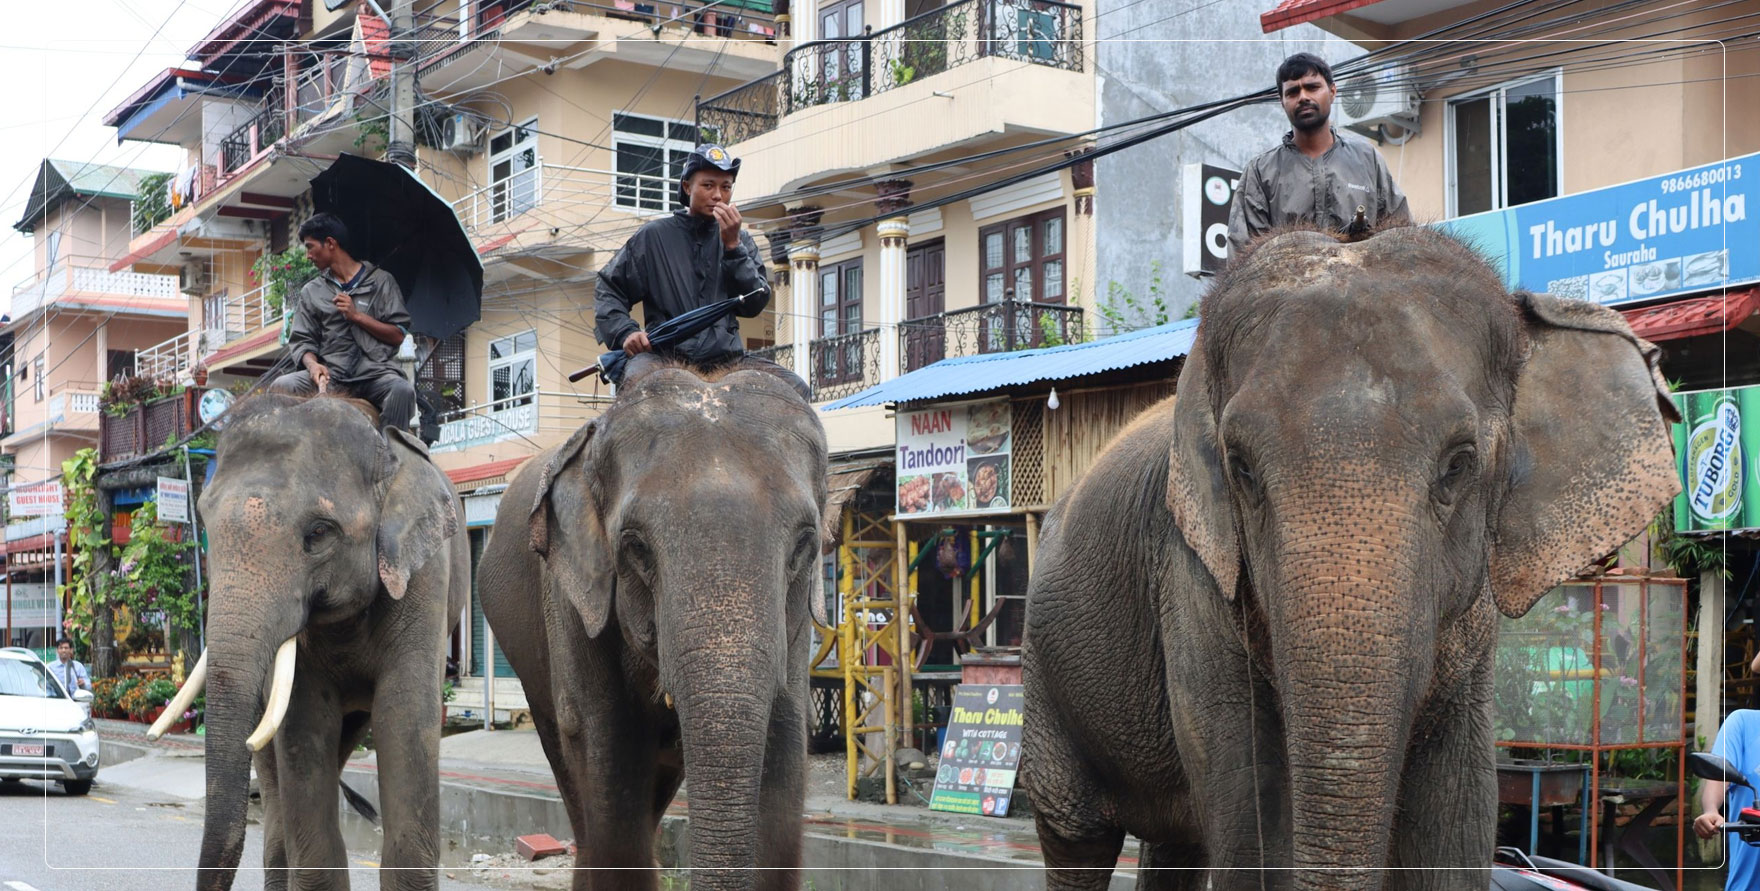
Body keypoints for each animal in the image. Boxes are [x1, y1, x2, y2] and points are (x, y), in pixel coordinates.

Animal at [478, 364, 827, 891]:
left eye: (805, 544)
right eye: (637, 547)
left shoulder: (797, 620)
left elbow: (785, 740)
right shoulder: (569, 599)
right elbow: (610, 744)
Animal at [1020, 227, 1675, 891]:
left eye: (1458, 464)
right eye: (1242, 468)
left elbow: (1459, 816)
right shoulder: (1191, 577)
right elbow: (1252, 820)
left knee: (1177, 846)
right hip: (1041, 669)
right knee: (1078, 837)